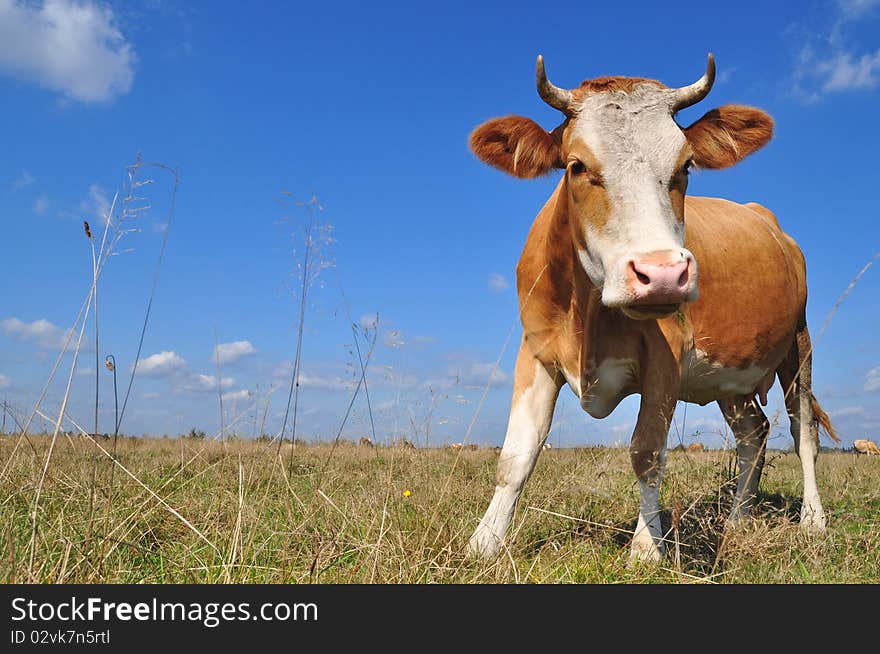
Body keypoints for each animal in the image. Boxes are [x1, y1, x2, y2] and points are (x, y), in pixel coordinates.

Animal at [464, 53, 836, 564]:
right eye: (576, 165)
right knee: (752, 433)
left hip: (798, 346)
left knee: (803, 432)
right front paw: (484, 542)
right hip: (731, 375)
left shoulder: (666, 360)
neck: (590, 314)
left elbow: (647, 452)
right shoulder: (535, 352)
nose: (662, 273)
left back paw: (813, 521)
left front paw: (646, 547)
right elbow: (516, 455)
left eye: (687, 165)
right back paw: (738, 519)